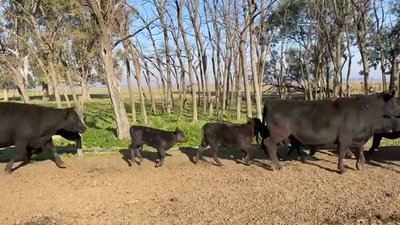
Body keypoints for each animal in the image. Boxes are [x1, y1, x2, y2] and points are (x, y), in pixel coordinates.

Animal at [260, 91, 400, 174]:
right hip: (278, 134)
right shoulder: (344, 137)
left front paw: (360, 164)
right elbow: (342, 153)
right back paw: (276, 166)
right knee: (268, 144)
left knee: (270, 146)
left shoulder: (357, 136)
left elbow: (360, 149)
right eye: (394, 101)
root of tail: (271, 101)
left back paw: (277, 164)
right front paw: (342, 169)